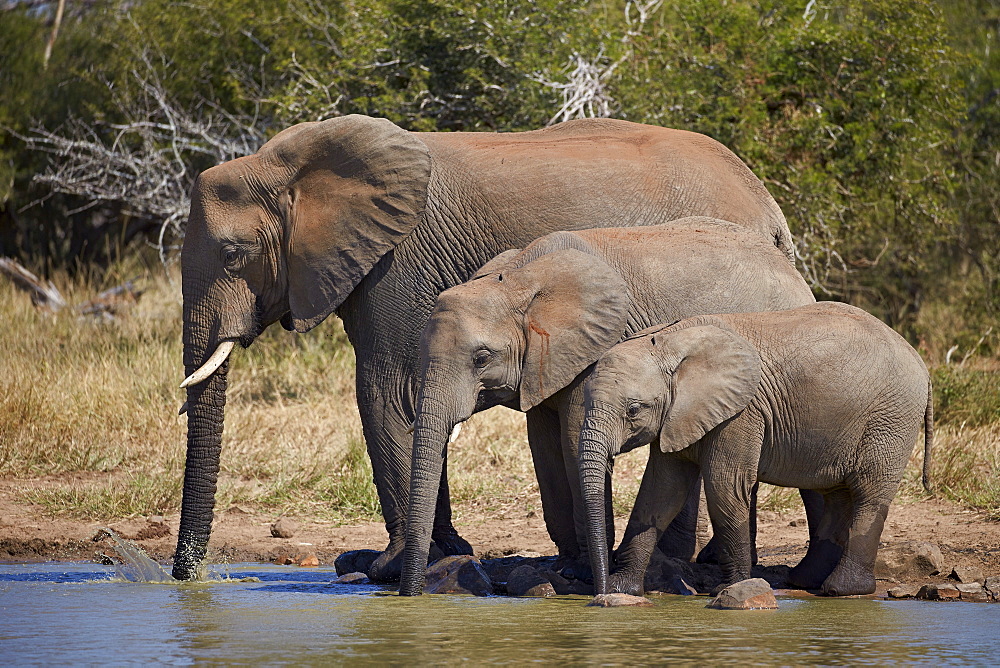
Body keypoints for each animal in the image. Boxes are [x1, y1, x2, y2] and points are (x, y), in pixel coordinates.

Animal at [394, 218, 816, 596]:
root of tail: (791, 269)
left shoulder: (595, 348)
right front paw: (566, 567)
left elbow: (570, 442)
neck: (519, 278)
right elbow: (545, 450)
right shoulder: (543, 362)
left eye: (481, 359)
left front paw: (583, 573)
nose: (410, 593)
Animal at [576, 300, 932, 596]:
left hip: (891, 418)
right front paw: (623, 590)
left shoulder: (742, 413)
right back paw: (805, 581)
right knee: (837, 495)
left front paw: (730, 589)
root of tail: (921, 362)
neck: (669, 341)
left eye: (633, 410)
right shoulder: (679, 416)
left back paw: (841, 590)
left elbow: (724, 488)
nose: (599, 592)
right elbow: (659, 492)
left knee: (868, 495)